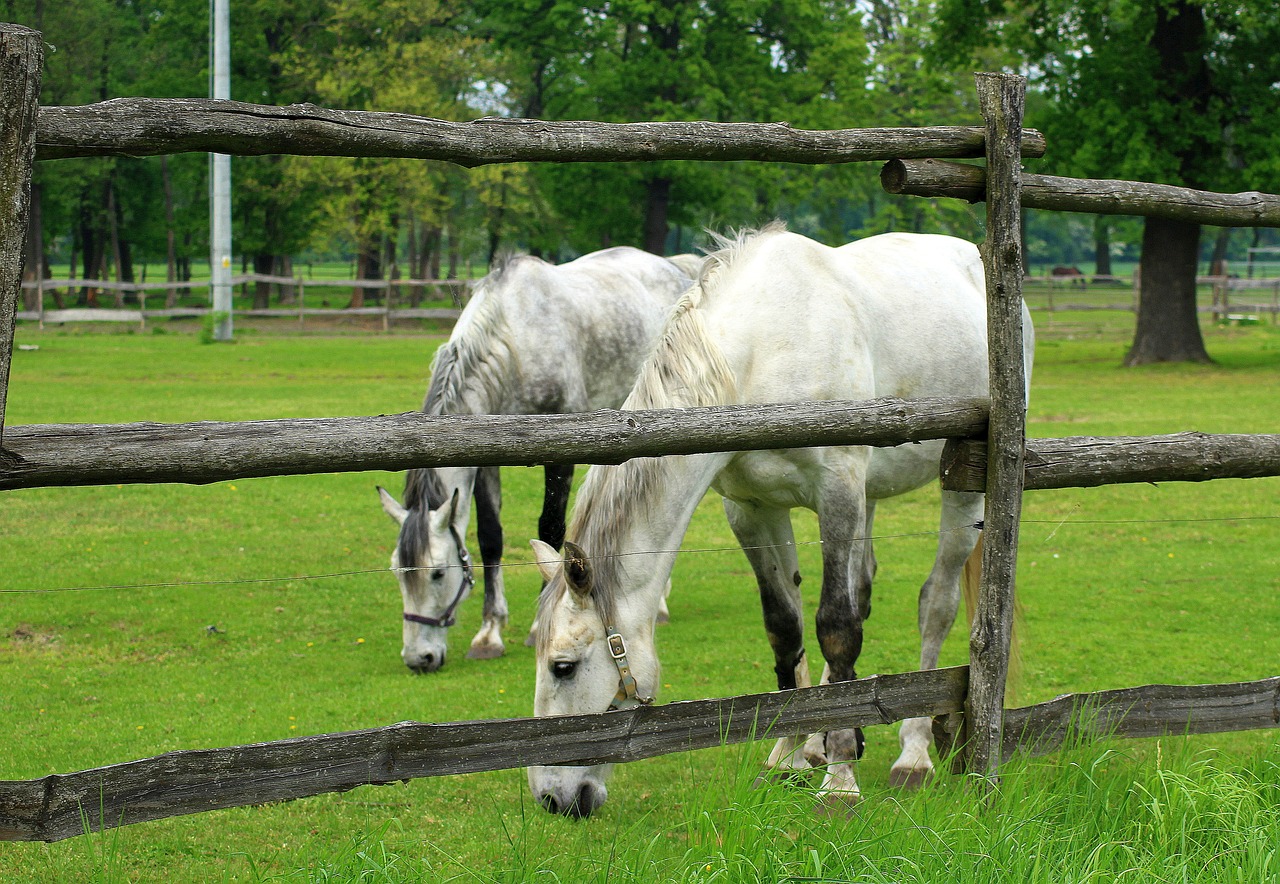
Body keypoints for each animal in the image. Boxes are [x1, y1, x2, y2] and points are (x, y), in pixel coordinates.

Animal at [373, 245, 696, 675]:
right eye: (397, 570)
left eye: (438, 573)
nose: (419, 658)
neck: (516, 343)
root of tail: (673, 267)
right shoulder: (486, 461)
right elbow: (491, 538)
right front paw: (489, 633)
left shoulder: (560, 455)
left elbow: (550, 530)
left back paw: (659, 604)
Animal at [524, 225, 1034, 818]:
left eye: (563, 666)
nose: (553, 798)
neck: (758, 354)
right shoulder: (754, 511)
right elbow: (785, 627)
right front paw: (793, 752)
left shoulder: (837, 492)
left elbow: (836, 627)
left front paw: (840, 775)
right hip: (869, 494)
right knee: (864, 588)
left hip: (958, 495)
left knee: (936, 604)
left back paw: (913, 751)